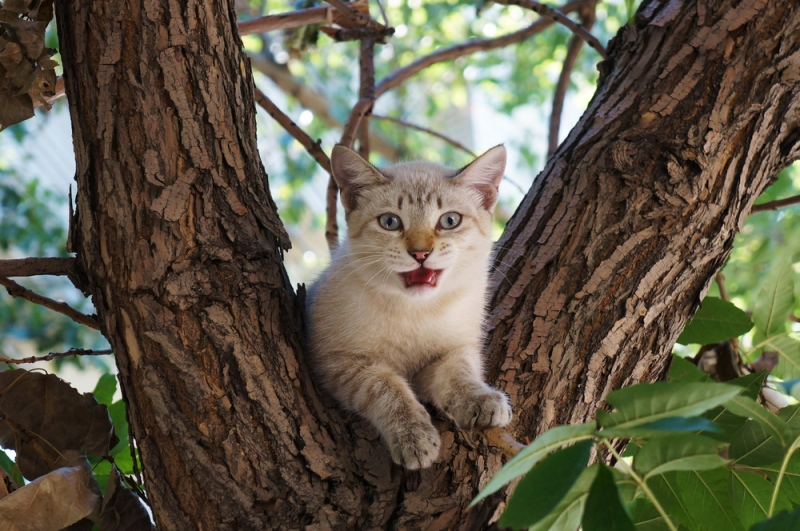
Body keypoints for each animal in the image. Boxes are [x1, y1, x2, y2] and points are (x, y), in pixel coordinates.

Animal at [306, 144, 512, 470]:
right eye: (390, 222)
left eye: (449, 221)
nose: (420, 253)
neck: (416, 311)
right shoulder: (339, 362)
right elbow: (387, 388)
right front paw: (413, 436)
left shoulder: (453, 350)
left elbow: (460, 372)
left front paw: (480, 399)